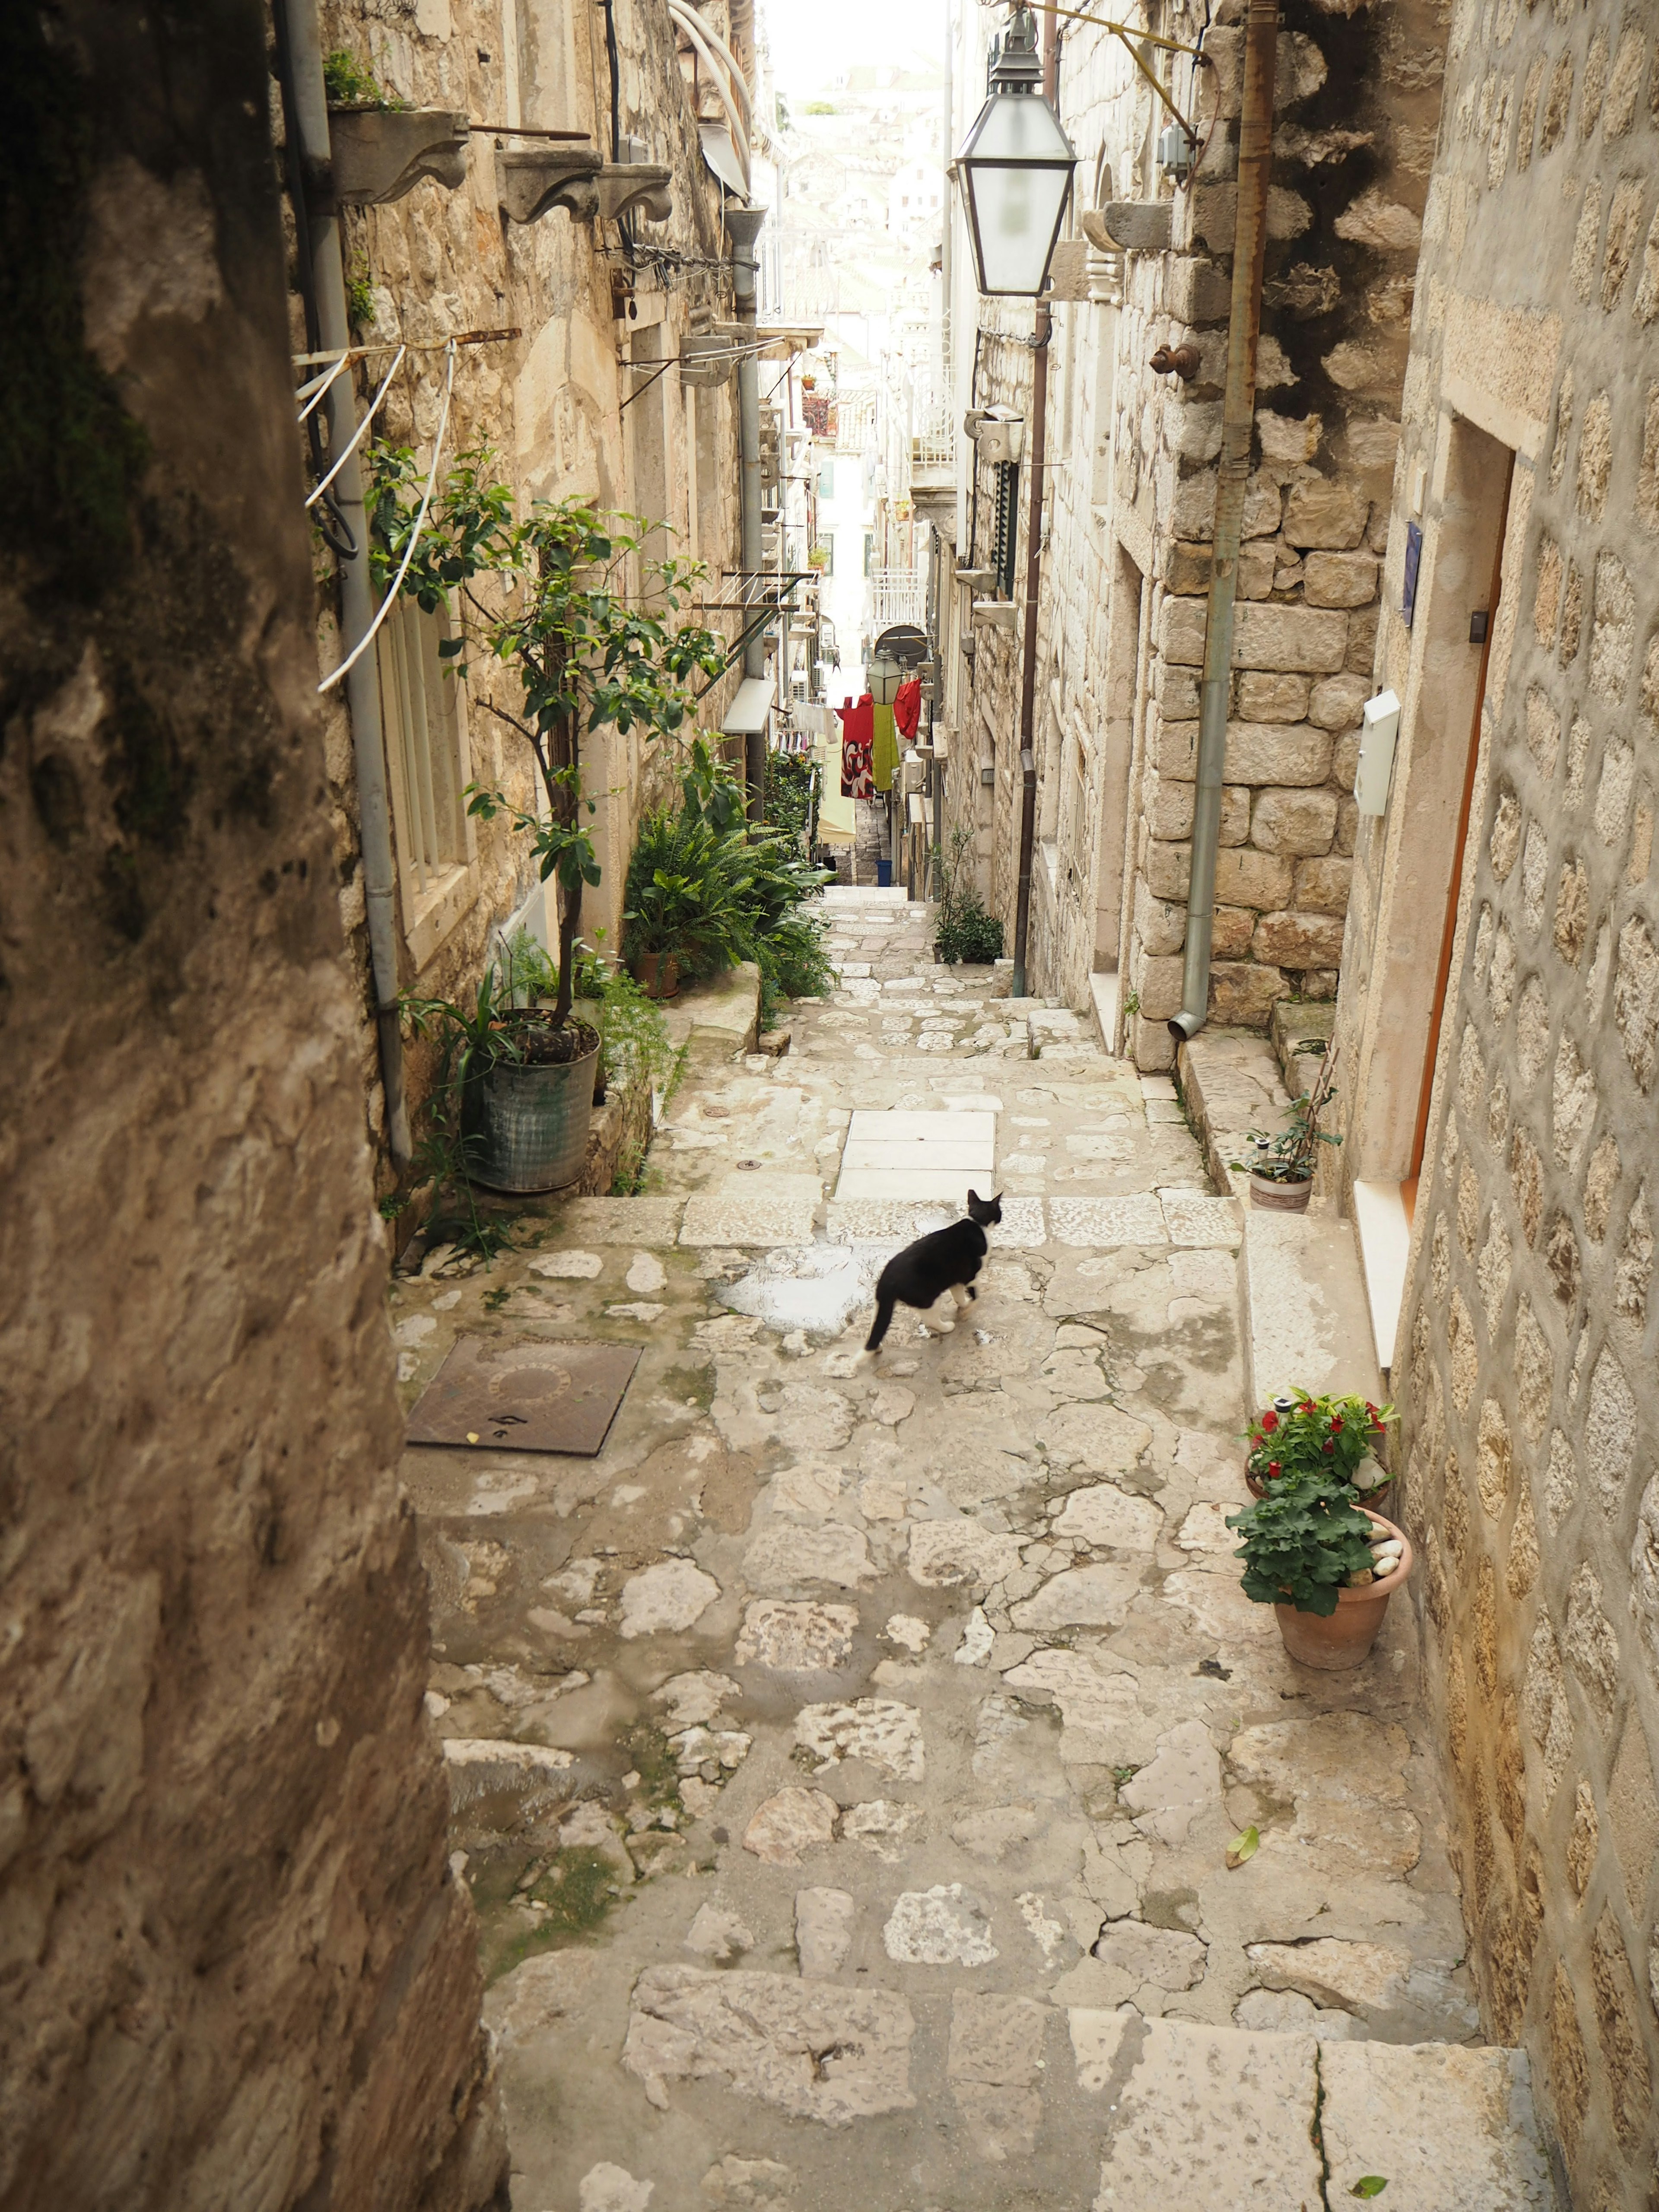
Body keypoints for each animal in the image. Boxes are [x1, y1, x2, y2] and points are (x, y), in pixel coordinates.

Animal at [862, 1185, 1008, 1354]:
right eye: (999, 1212)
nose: (1001, 1218)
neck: (977, 1222)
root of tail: (888, 1281)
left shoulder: (955, 1280)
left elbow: (959, 1296)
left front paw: (963, 1306)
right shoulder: (970, 1276)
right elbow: (976, 1296)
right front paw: (967, 1310)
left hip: (881, 1304)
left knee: (876, 1324)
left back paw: (876, 1347)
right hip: (929, 1298)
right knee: (930, 1320)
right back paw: (947, 1327)